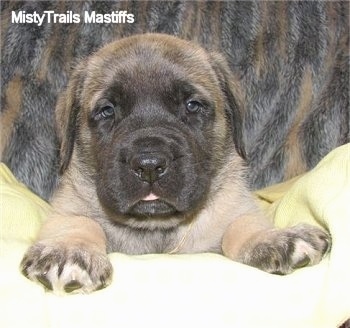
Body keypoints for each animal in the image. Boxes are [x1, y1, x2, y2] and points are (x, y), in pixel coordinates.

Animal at [19, 34, 330, 294]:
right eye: (107, 111)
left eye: (192, 105)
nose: (149, 165)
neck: (157, 229)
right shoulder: (65, 211)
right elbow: (79, 222)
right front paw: (70, 249)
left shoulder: (233, 209)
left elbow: (241, 223)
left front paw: (272, 238)